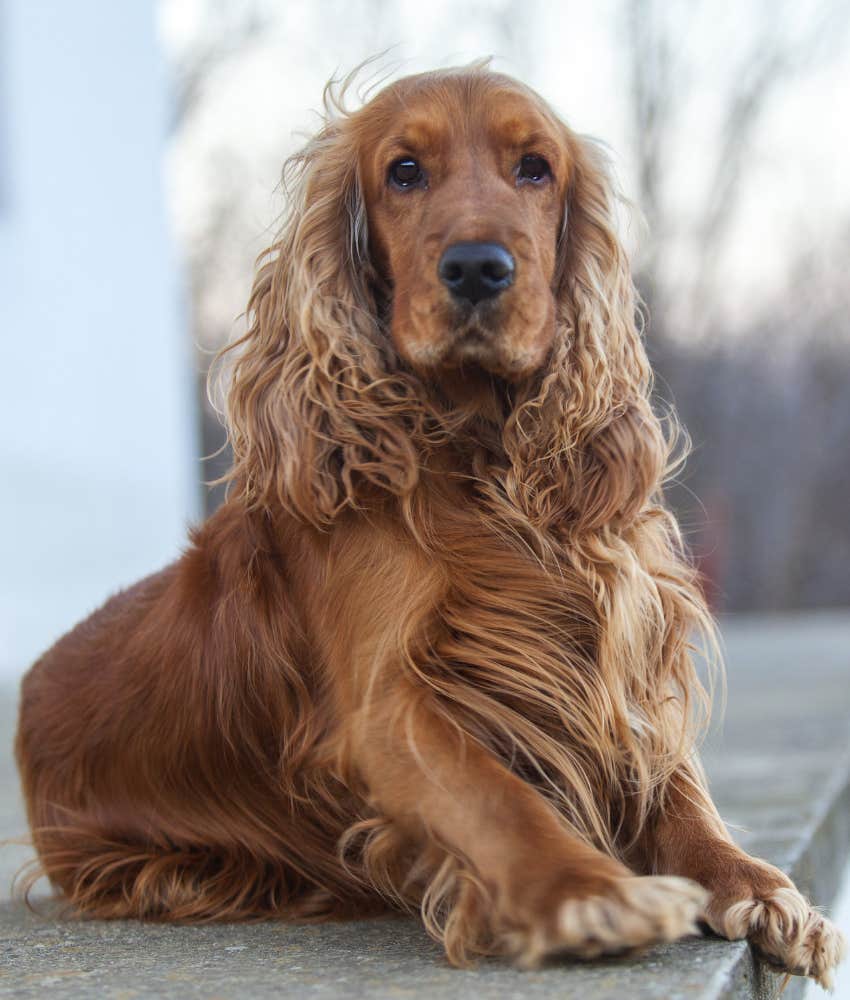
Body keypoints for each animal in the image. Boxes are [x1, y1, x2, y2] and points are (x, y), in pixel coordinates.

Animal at [13, 66, 840, 988]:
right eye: (404, 170)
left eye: (535, 167)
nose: (478, 268)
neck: (482, 463)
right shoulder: (389, 707)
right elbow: (496, 797)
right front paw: (584, 891)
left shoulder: (617, 643)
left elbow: (675, 782)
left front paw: (753, 883)